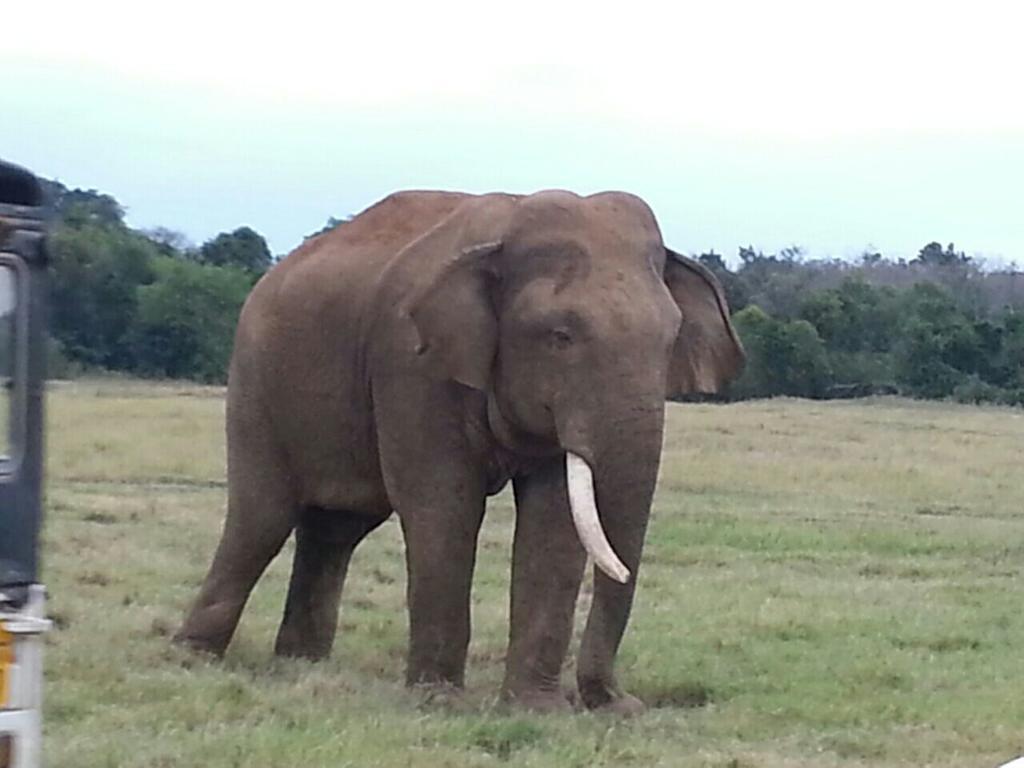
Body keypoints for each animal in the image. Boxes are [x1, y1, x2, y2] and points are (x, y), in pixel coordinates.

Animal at [176, 188, 745, 716]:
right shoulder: (411, 362)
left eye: (671, 338)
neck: (505, 234)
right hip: (256, 381)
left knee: (335, 530)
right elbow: (443, 505)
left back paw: (301, 663)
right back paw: (194, 657)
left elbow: (555, 521)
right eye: (560, 336)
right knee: (262, 518)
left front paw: (536, 710)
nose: (619, 703)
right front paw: (440, 700)